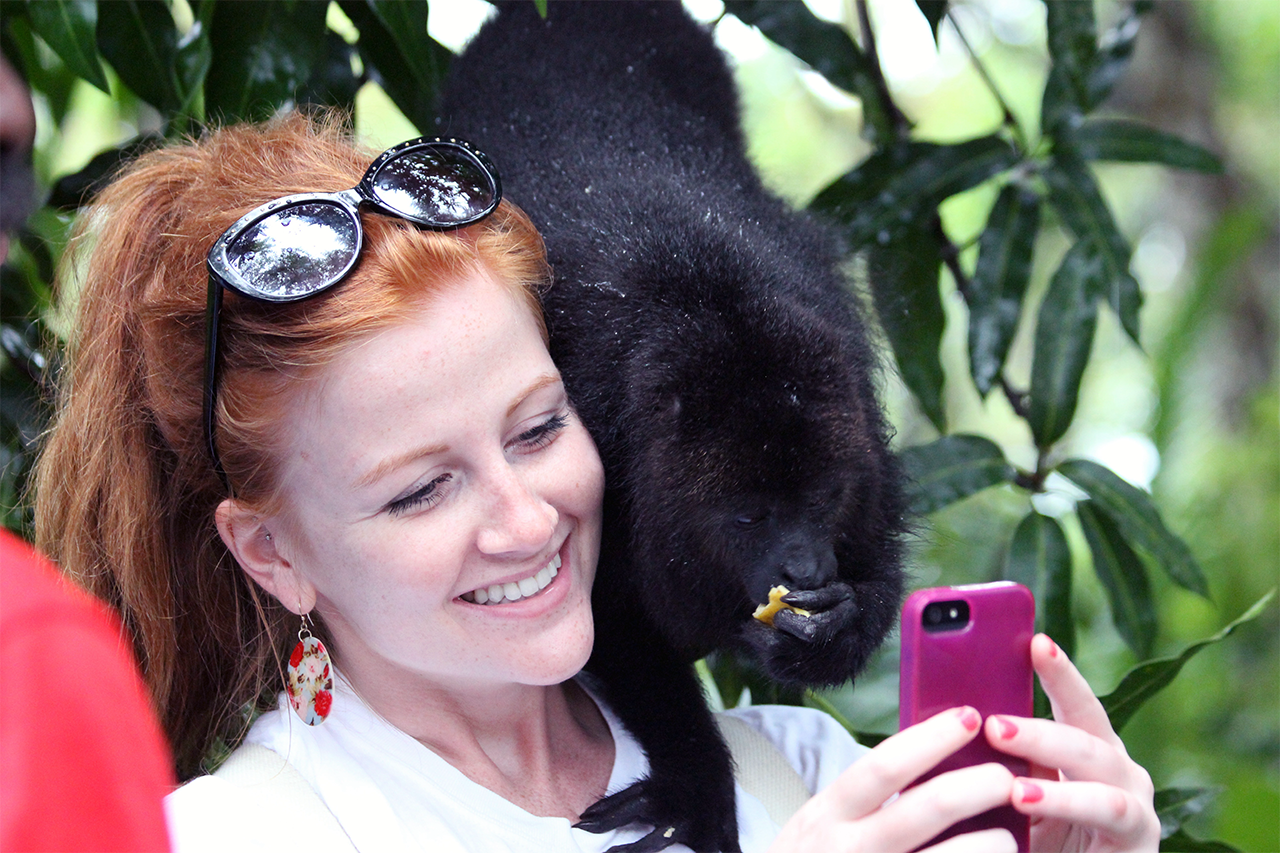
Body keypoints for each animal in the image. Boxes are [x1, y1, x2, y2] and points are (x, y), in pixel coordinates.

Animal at [445, 1, 906, 850]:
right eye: (748, 515)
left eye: (824, 500)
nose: (808, 569)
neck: (710, 309)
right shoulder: (589, 422)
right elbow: (604, 615)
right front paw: (698, 784)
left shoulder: (846, 371)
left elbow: (877, 555)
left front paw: (835, 621)